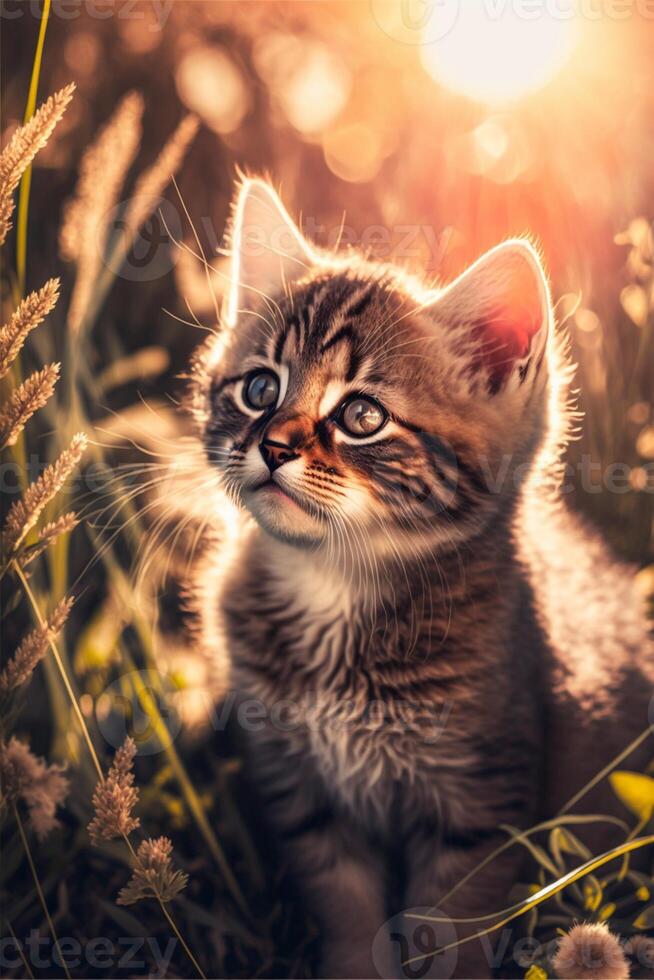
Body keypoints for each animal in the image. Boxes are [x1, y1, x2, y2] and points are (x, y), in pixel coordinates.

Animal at [187, 182, 652, 980]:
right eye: (259, 388)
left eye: (361, 415)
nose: (272, 445)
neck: (335, 586)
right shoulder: (302, 788)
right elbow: (345, 909)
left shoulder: (478, 801)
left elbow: (451, 931)